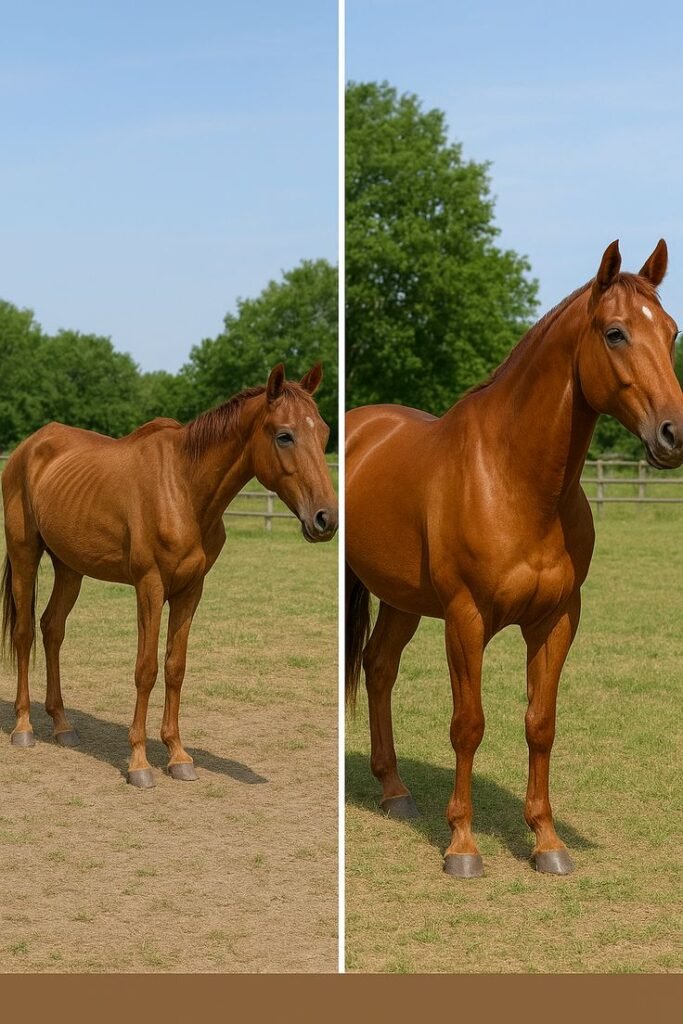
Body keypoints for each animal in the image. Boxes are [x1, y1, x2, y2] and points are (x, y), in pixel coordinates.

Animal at [2, 363, 337, 788]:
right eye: (284, 435)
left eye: (324, 432)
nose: (326, 519)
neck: (183, 488)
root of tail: (28, 448)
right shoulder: (149, 586)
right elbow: (146, 670)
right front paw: (139, 763)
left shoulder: (190, 590)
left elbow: (175, 667)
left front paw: (178, 755)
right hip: (25, 554)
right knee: (24, 633)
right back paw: (23, 727)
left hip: (69, 568)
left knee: (52, 629)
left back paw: (62, 726)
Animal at [346, 240, 683, 877]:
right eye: (616, 333)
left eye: (672, 331)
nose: (673, 434)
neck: (515, 480)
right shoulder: (465, 618)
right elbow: (468, 725)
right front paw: (462, 847)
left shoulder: (557, 620)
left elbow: (540, 724)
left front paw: (547, 842)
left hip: (403, 600)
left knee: (379, 668)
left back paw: (395, 791)